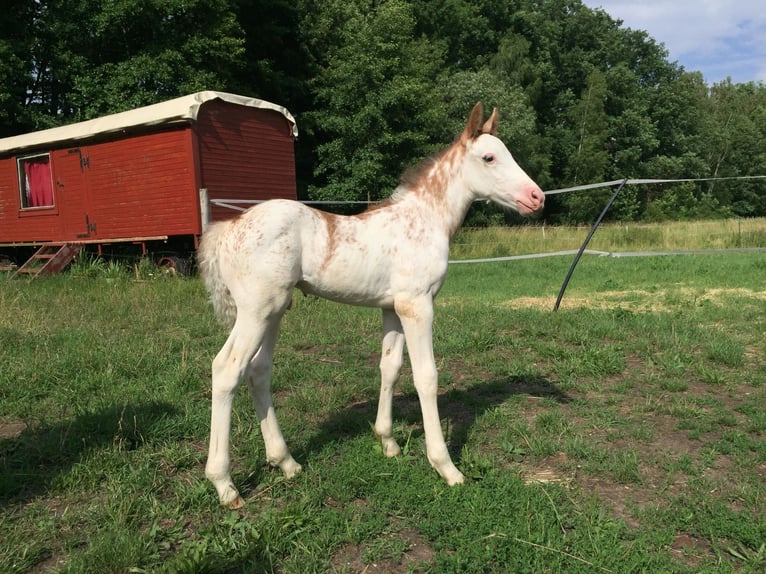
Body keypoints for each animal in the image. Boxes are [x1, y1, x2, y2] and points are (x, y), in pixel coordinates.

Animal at [198, 103, 544, 508]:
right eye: (489, 157)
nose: (537, 197)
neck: (423, 220)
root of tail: (228, 228)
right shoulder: (417, 305)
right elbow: (426, 376)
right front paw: (446, 467)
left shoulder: (392, 308)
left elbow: (389, 367)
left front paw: (388, 442)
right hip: (256, 311)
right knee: (227, 370)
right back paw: (225, 485)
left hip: (275, 311)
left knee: (258, 371)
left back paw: (286, 462)